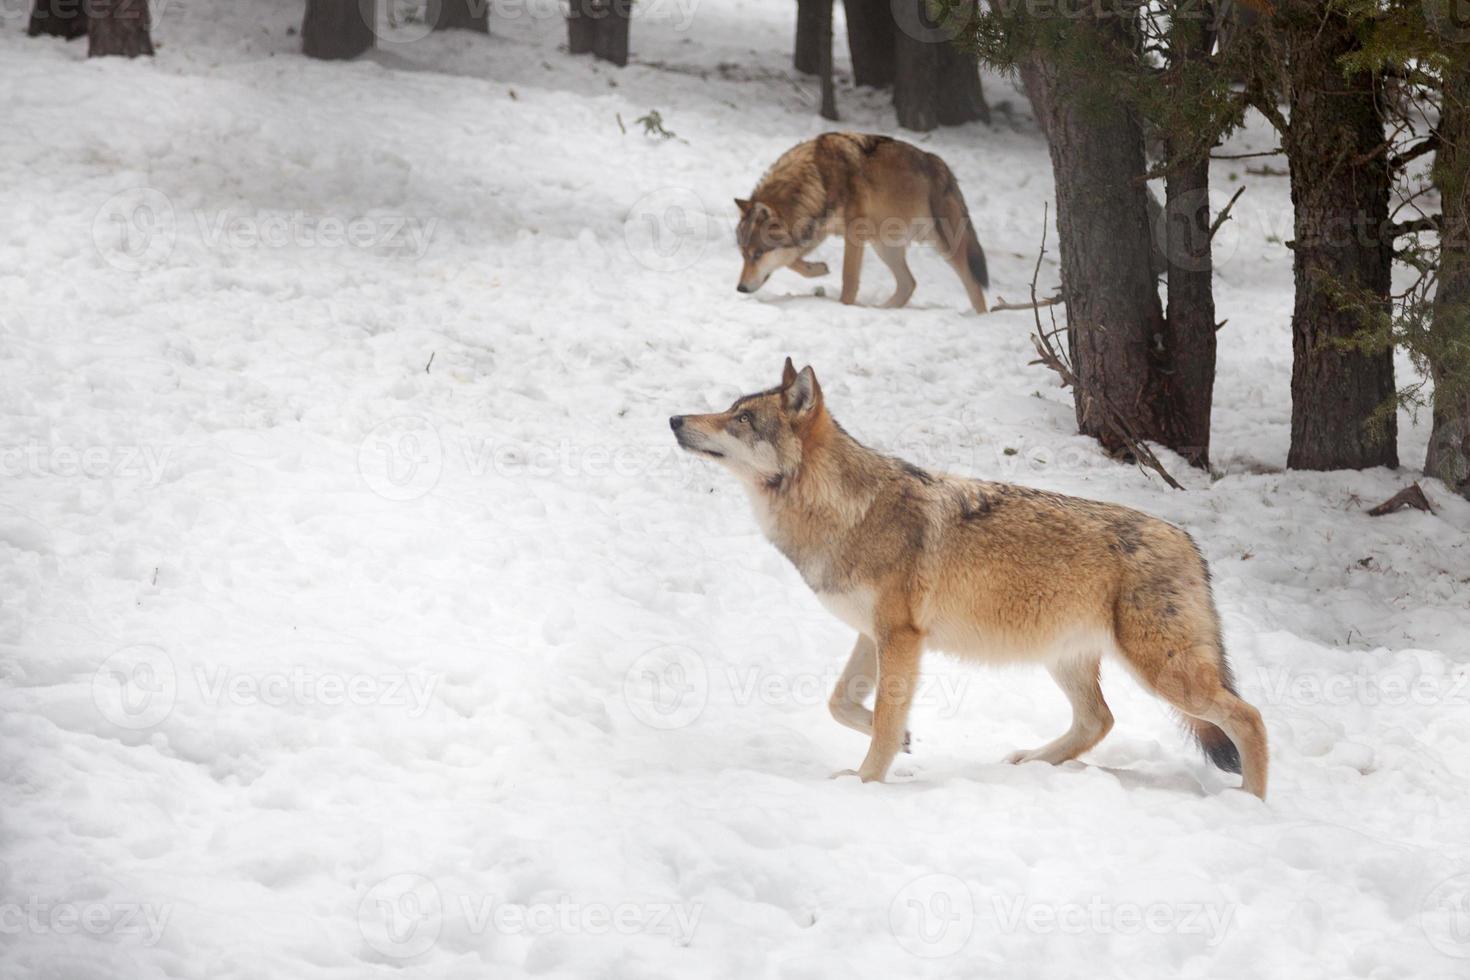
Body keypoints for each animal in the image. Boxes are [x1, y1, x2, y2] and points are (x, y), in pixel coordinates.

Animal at [673, 359, 1270, 799]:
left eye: (742, 419)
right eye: (729, 409)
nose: (676, 419)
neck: (845, 511)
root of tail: (1189, 542)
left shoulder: (901, 638)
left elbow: (883, 715)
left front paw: (866, 781)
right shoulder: (873, 634)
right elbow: (841, 703)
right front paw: (904, 742)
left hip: (1164, 674)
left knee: (1251, 717)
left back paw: (1251, 802)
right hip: (1067, 660)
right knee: (1099, 721)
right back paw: (1031, 762)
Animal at [732, 132, 987, 312]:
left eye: (757, 255)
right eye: (743, 255)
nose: (740, 288)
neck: (818, 178)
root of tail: (941, 166)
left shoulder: (853, 233)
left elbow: (849, 278)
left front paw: (844, 306)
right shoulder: (817, 229)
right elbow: (792, 261)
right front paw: (818, 269)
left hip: (946, 246)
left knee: (973, 284)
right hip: (884, 246)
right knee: (909, 283)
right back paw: (882, 310)